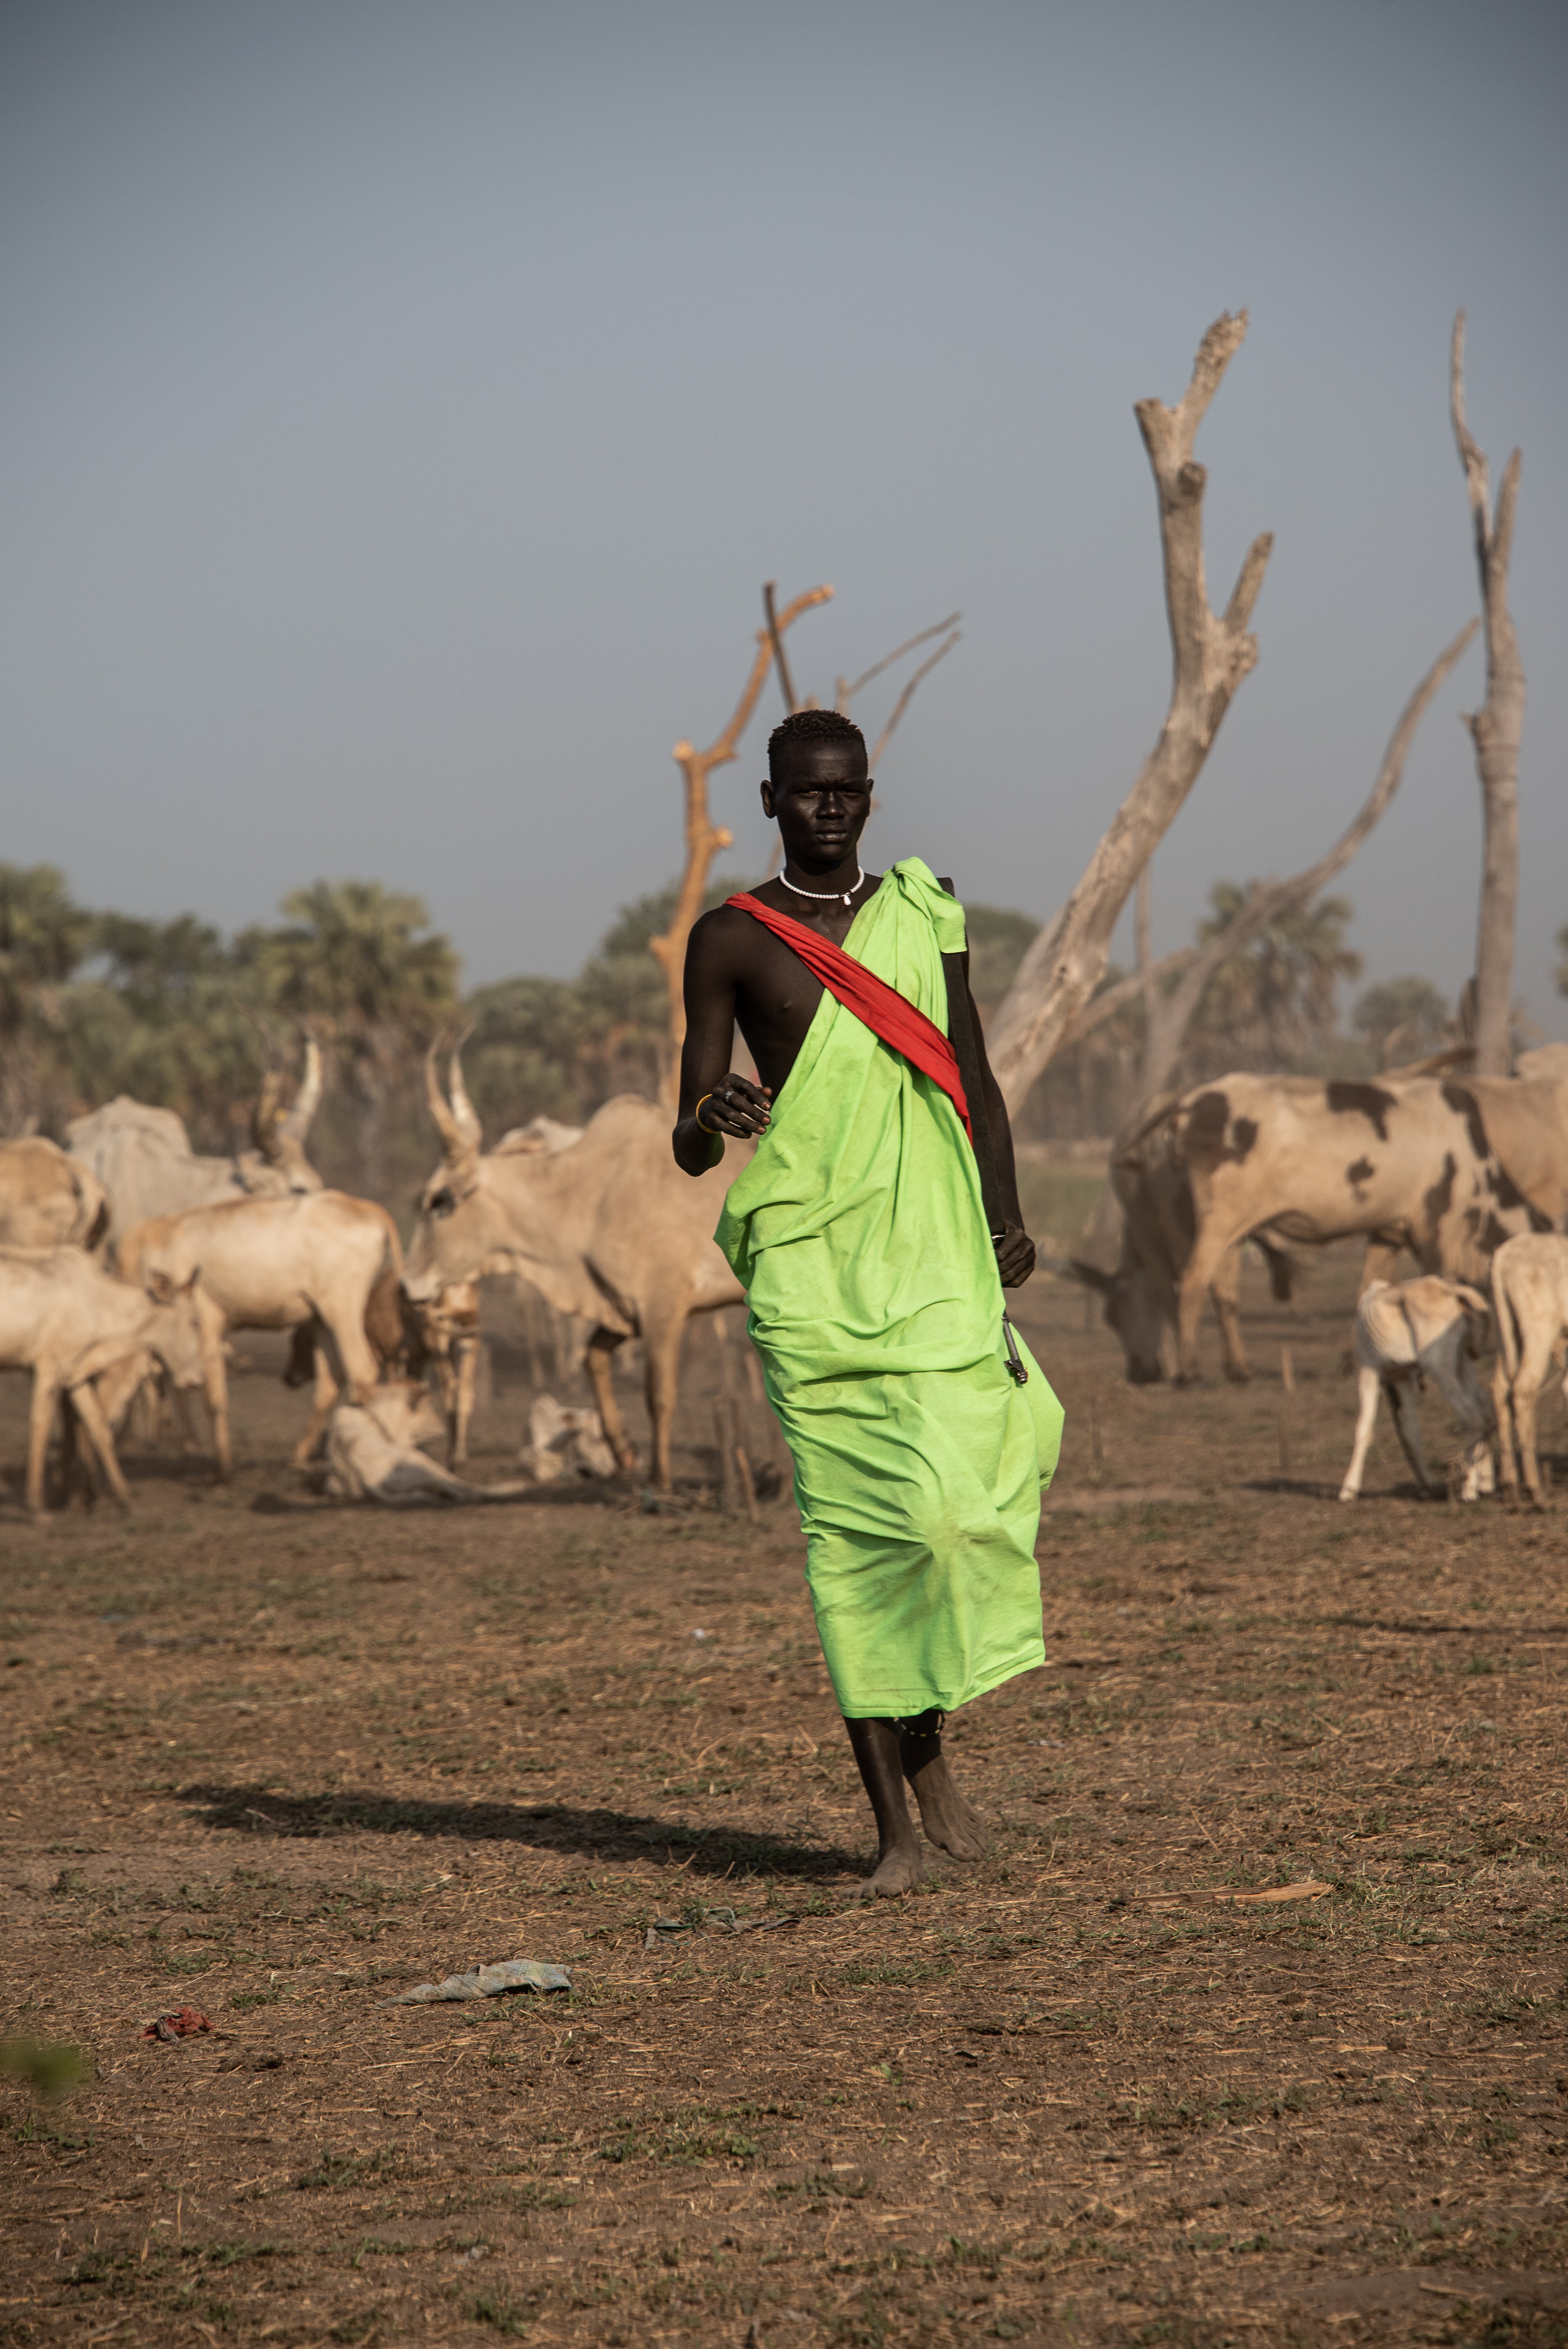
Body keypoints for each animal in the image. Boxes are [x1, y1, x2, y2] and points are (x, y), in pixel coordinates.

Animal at [404, 1048, 746, 1485]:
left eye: (440, 1201)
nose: (407, 1284)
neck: (591, 1193)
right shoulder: (624, 1312)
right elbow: (593, 1358)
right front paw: (623, 1452)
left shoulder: (663, 1309)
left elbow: (659, 1395)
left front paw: (660, 1479)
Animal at [1333, 1287, 1493, 1503]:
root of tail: (1453, 1292)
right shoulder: (1405, 1378)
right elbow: (1411, 1431)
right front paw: (1427, 1486)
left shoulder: (1369, 1372)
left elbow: (1364, 1428)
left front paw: (1349, 1489)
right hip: (1463, 1361)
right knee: (1485, 1406)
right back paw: (1485, 1483)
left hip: (1439, 1368)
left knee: (1472, 1415)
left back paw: (1469, 1490)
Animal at [1483, 1231, 1568, 1503]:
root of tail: (1507, 1252)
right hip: (1539, 1330)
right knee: (1522, 1389)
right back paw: (1535, 1490)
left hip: (1506, 1335)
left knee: (1499, 1388)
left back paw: (1510, 1483)